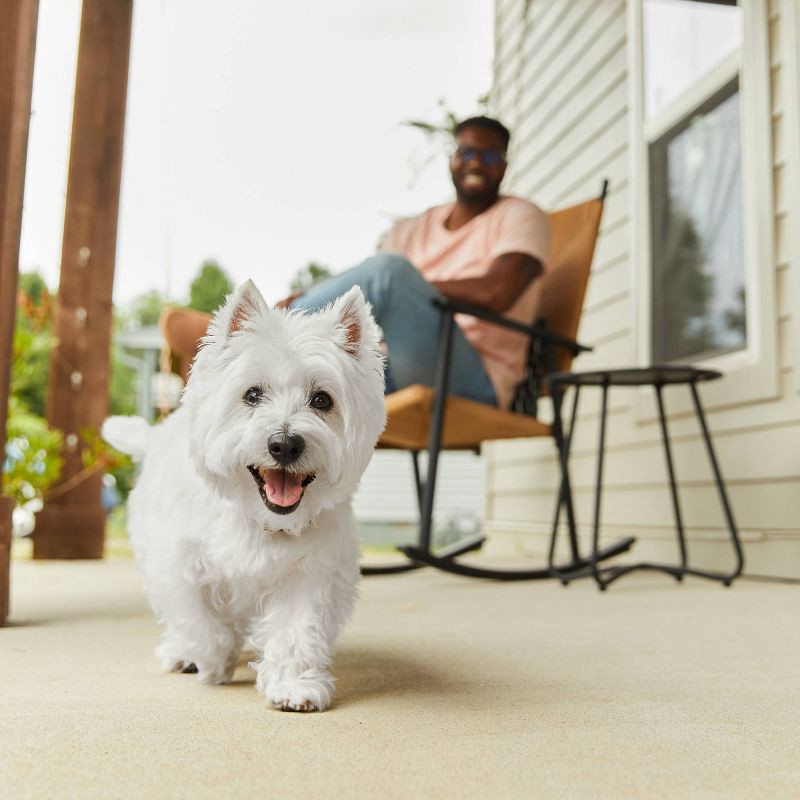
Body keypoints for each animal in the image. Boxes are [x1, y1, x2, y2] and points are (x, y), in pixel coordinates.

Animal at [102, 282, 384, 712]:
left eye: (322, 400)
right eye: (252, 394)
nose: (285, 444)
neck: (262, 521)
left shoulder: (313, 574)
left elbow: (295, 630)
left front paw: (293, 687)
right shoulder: (179, 566)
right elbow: (201, 622)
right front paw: (213, 662)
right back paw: (182, 654)